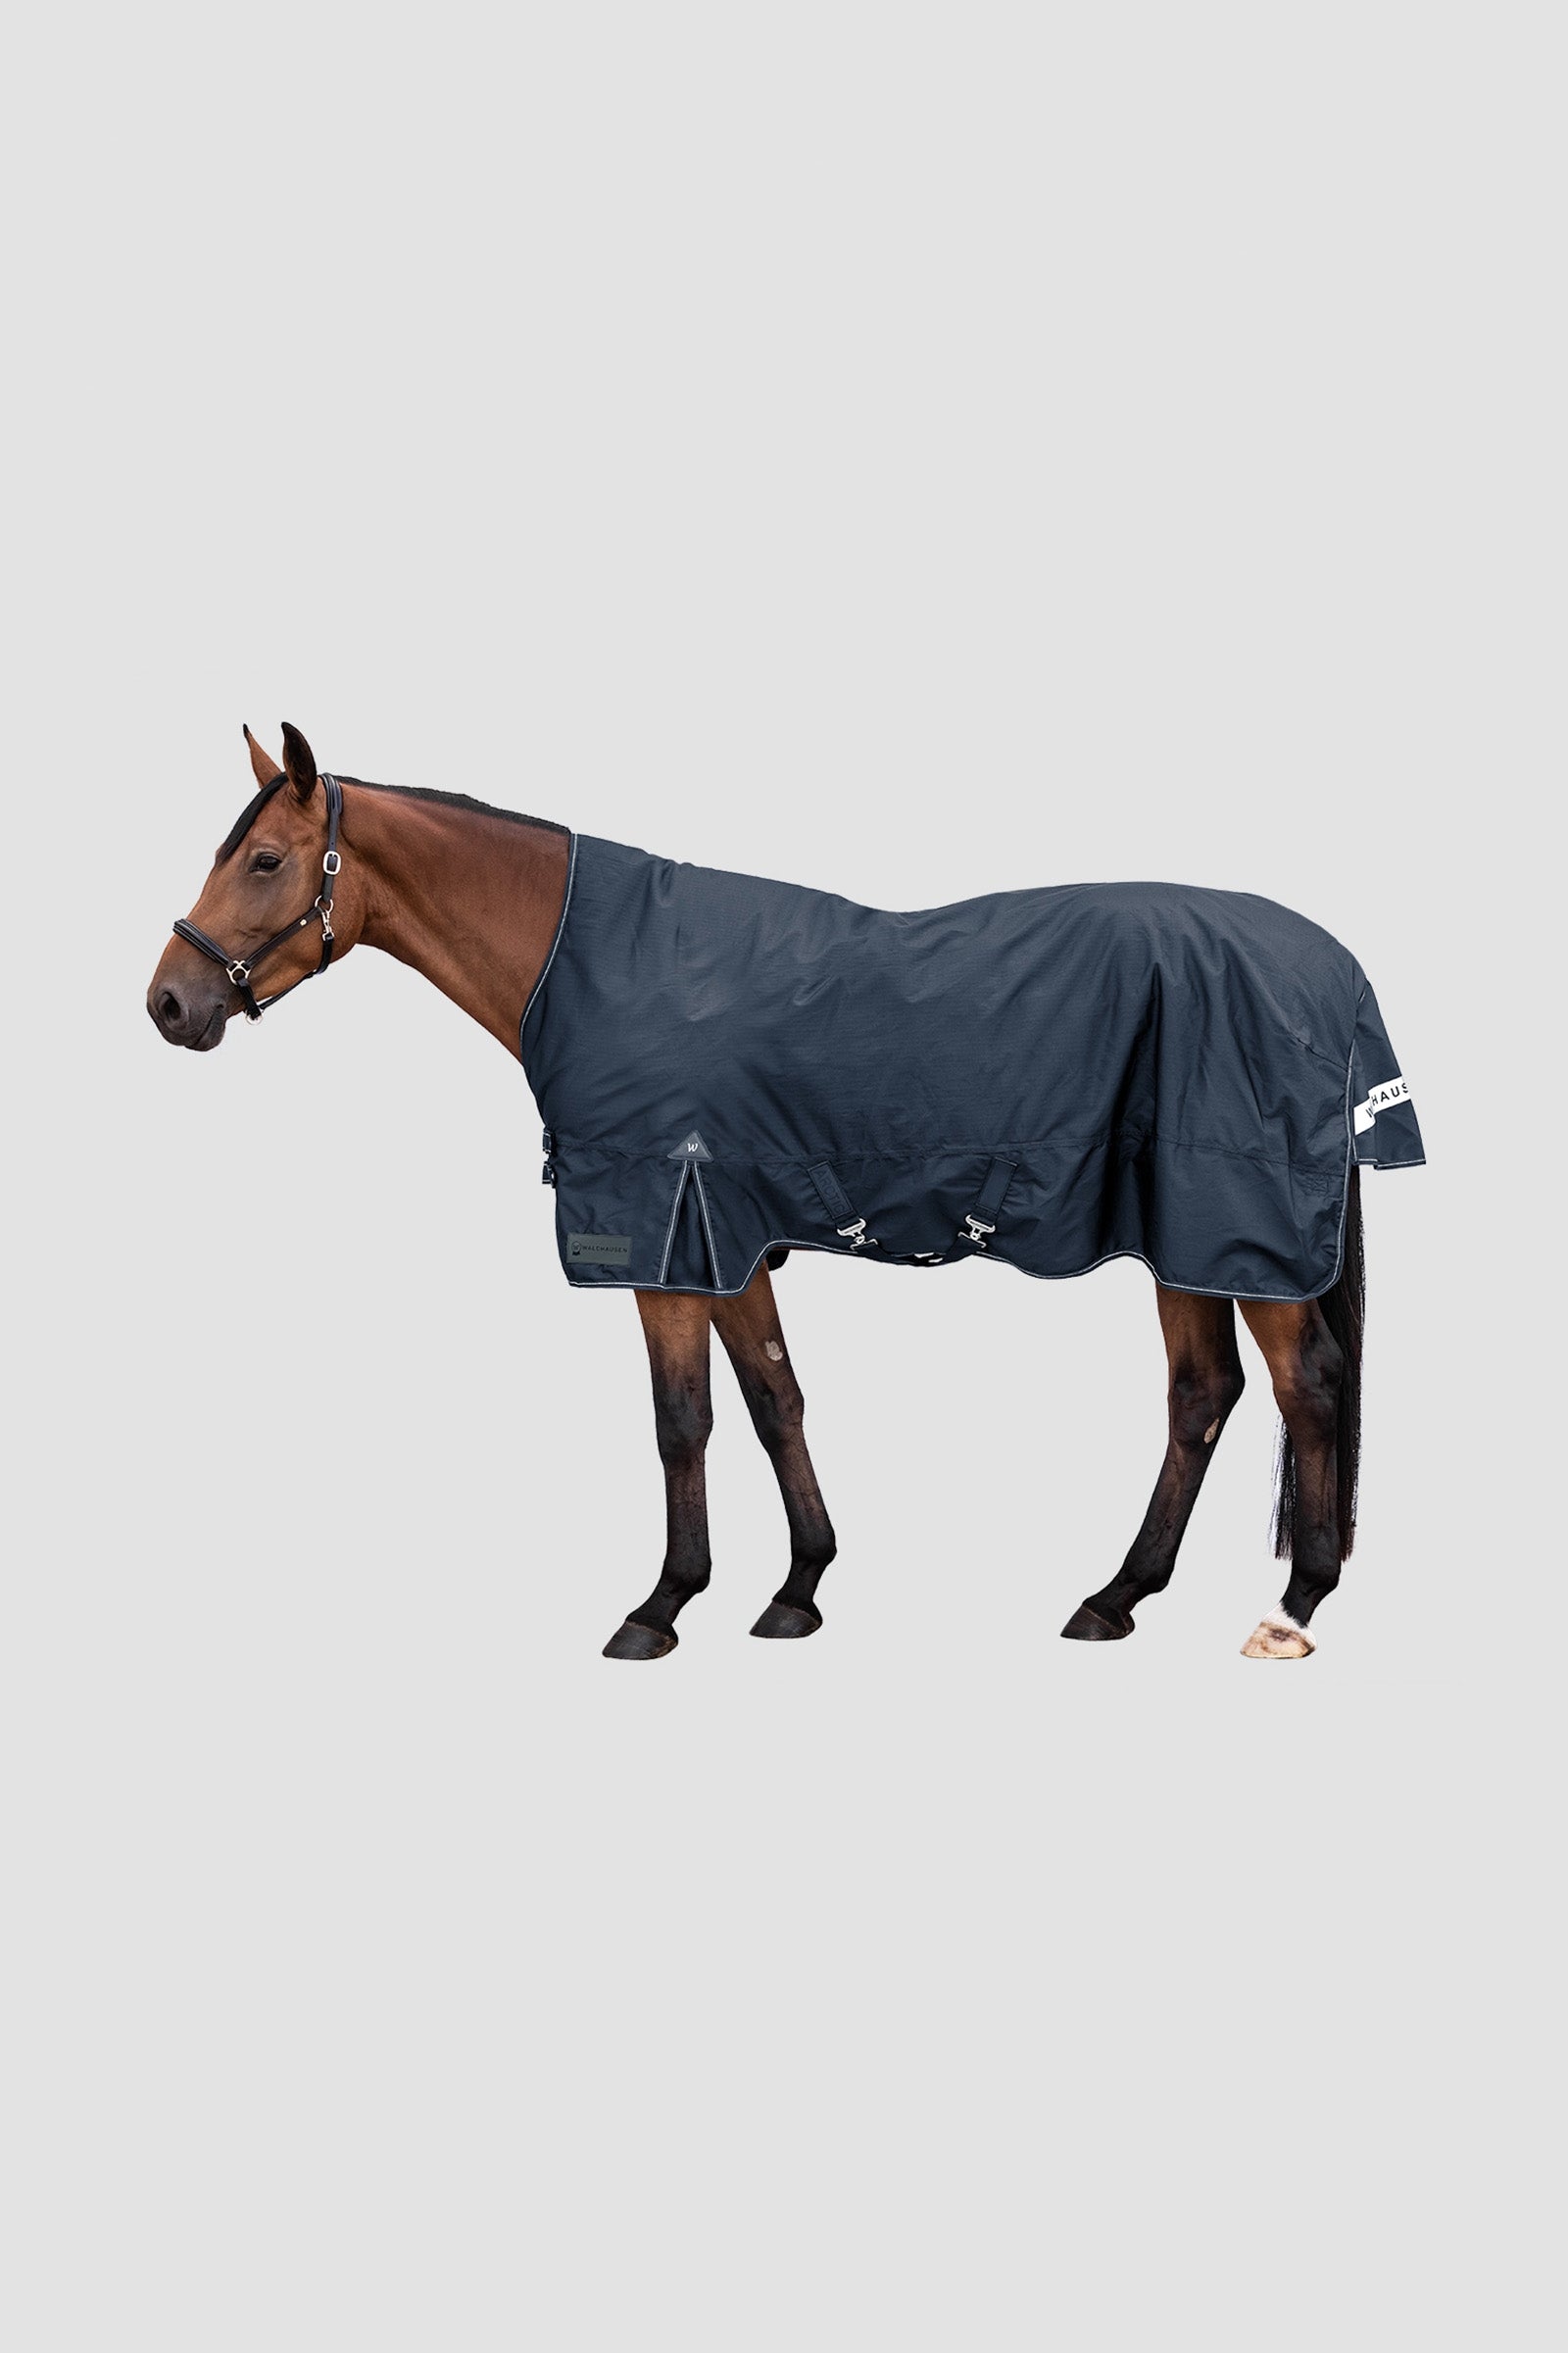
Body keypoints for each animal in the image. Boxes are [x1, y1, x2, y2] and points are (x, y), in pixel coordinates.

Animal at [147, 722, 1422, 1663]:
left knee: (1305, 1386)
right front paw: (799, 1587)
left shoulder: (662, 1240)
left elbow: (683, 1421)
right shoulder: (731, 1240)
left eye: (264, 861)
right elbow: (774, 1399)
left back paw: (1290, 1607)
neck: (589, 961)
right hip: (1189, 1237)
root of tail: (1328, 966)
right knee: (1202, 1396)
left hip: (1237, 1228)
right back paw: (1115, 1596)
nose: (168, 1003)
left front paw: (661, 1605)